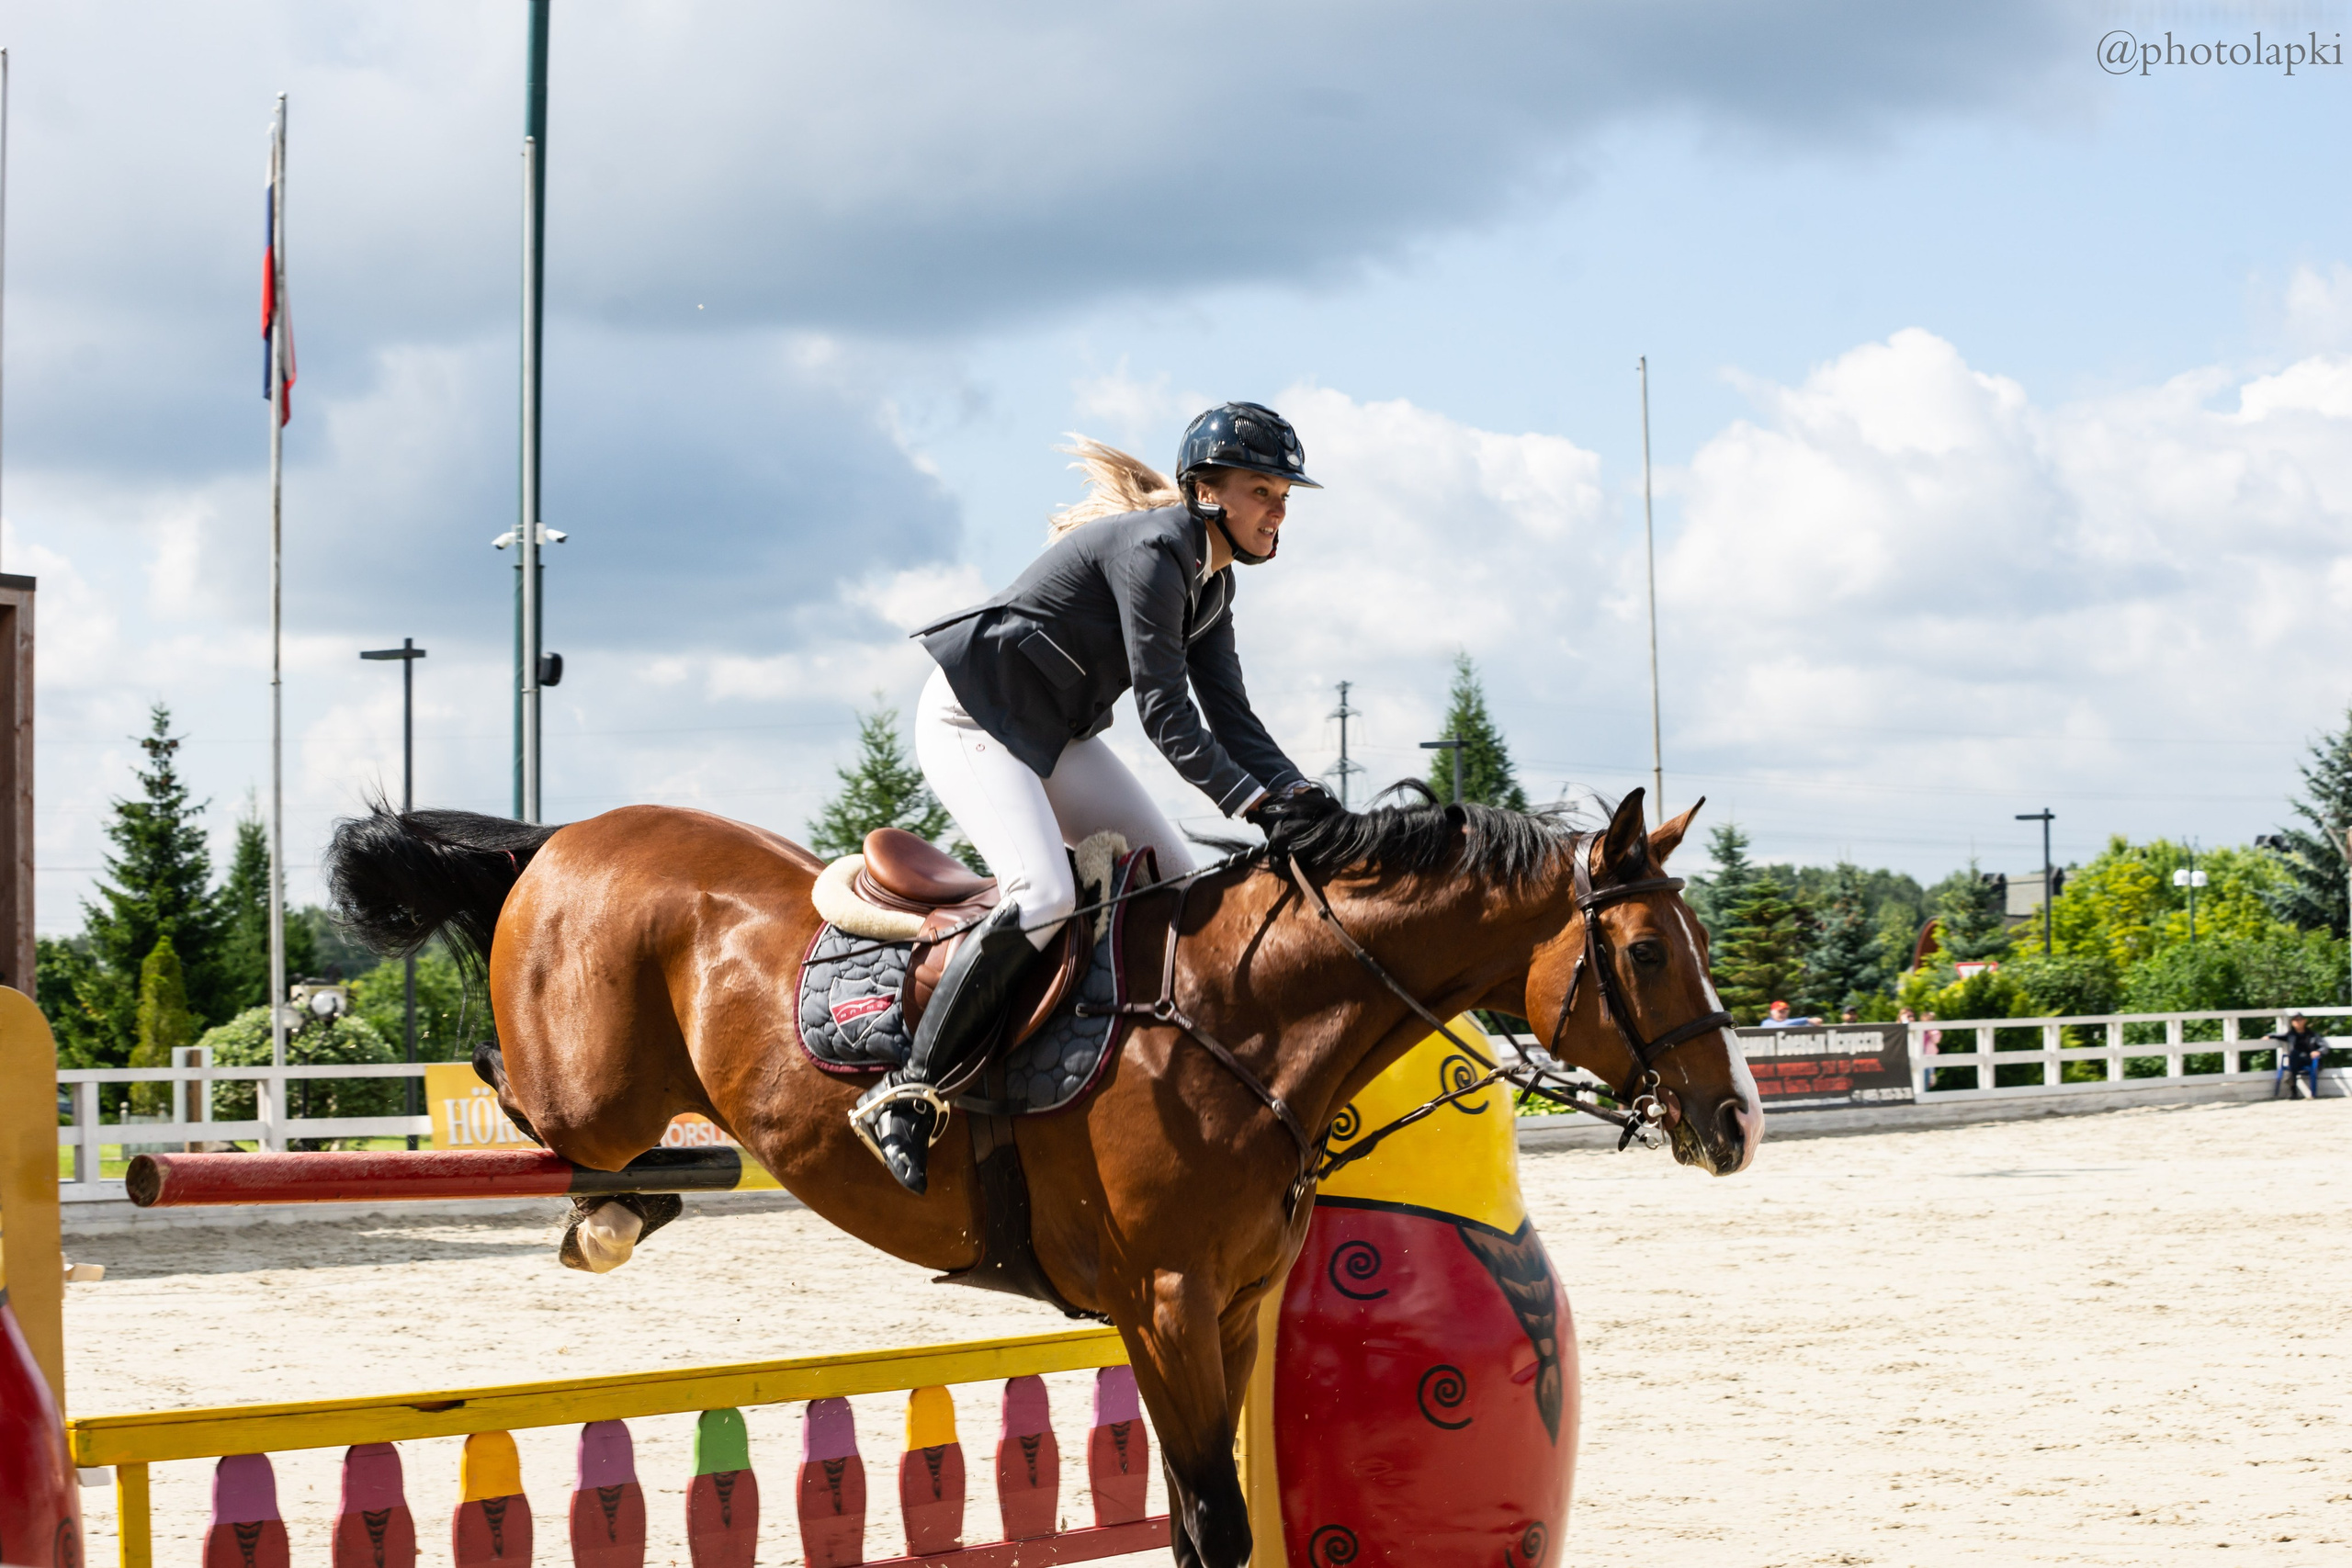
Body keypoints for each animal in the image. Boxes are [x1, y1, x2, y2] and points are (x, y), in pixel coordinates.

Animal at [325, 785, 1760, 1568]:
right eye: (1643, 952)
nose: (1735, 1121)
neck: (1243, 1019)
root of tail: (565, 834)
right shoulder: (1169, 1304)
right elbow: (1215, 1520)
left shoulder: (1233, 1308)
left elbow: (1199, 1518)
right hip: (597, 1085)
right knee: (532, 1098)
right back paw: (611, 1207)